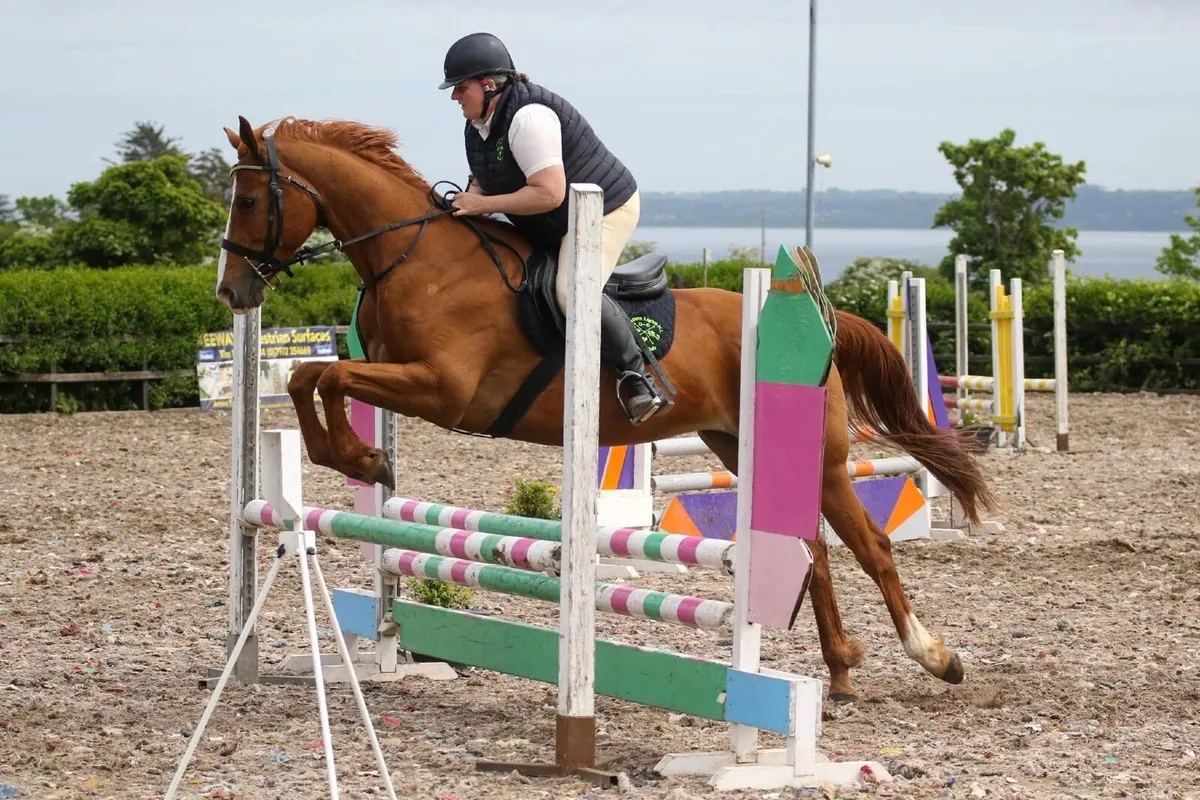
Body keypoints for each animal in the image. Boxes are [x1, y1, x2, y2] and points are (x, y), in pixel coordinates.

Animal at [214, 114, 998, 701]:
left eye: (249, 202)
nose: (232, 293)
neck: (415, 258)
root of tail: (819, 327)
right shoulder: (398, 373)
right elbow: (311, 375)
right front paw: (362, 457)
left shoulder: (443, 388)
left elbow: (323, 375)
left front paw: (362, 454)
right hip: (734, 444)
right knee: (817, 550)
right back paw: (840, 671)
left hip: (824, 458)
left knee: (870, 546)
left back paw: (935, 656)